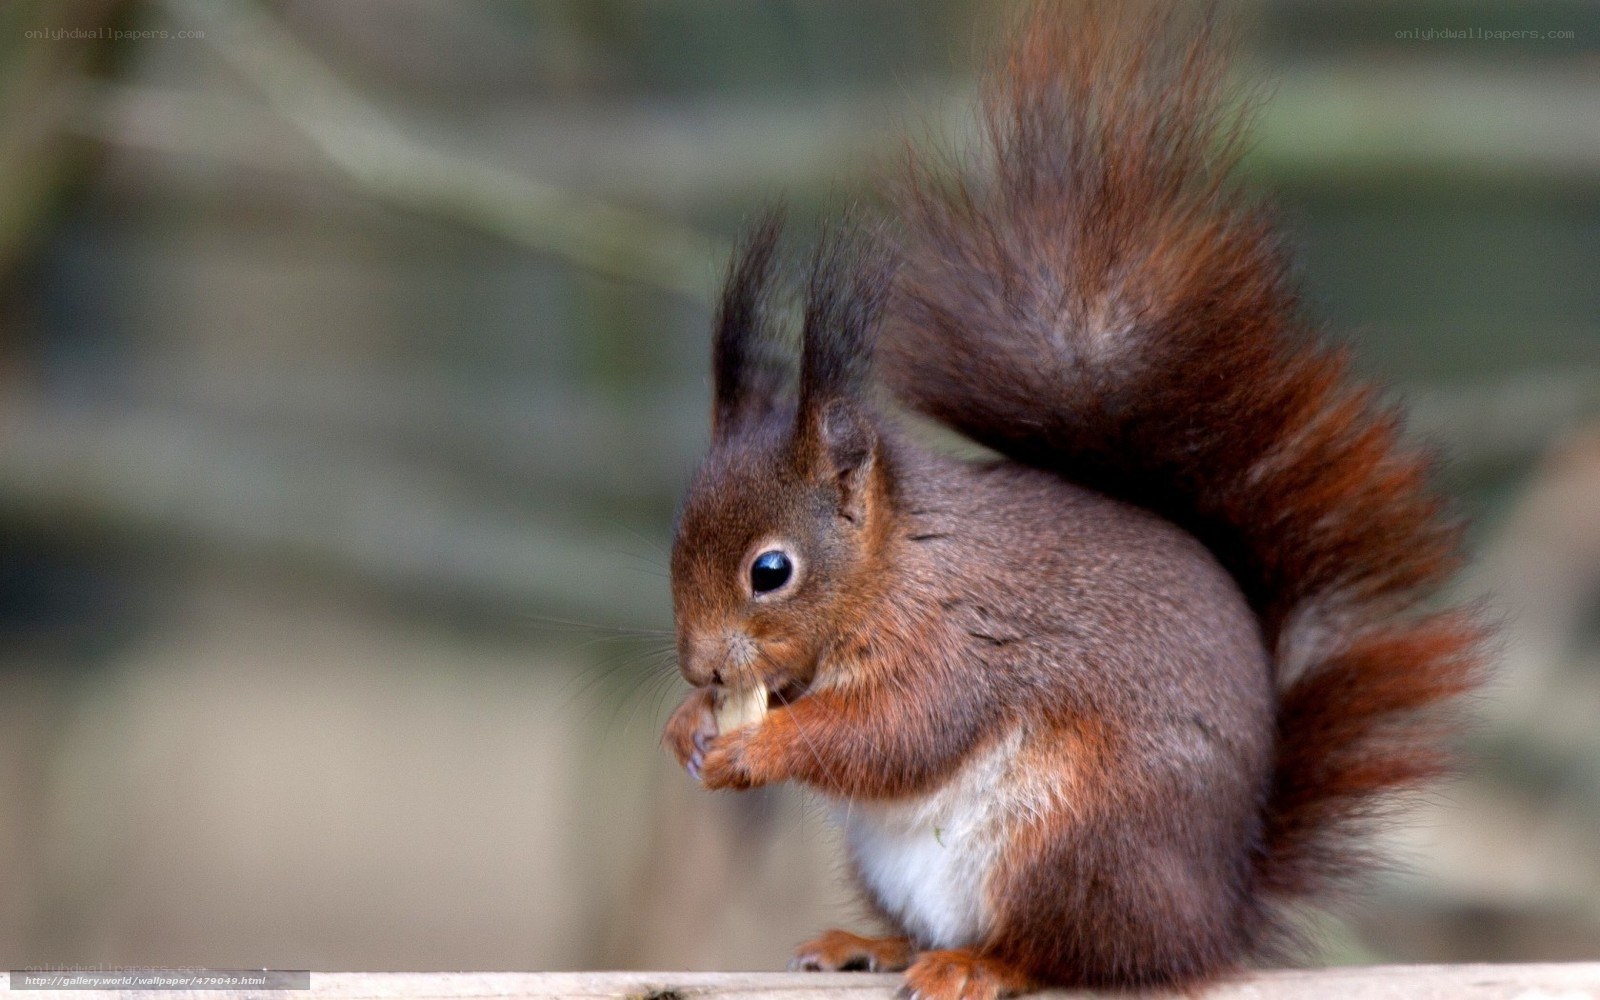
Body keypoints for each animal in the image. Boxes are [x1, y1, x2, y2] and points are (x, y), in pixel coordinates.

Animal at [661, 2, 1483, 997]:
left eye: (771, 570)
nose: (700, 670)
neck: (898, 563)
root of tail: (1216, 914)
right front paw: (683, 729)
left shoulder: (956, 644)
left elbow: (898, 734)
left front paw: (756, 746)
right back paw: (873, 944)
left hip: (1078, 836)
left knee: (1077, 952)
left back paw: (976, 964)